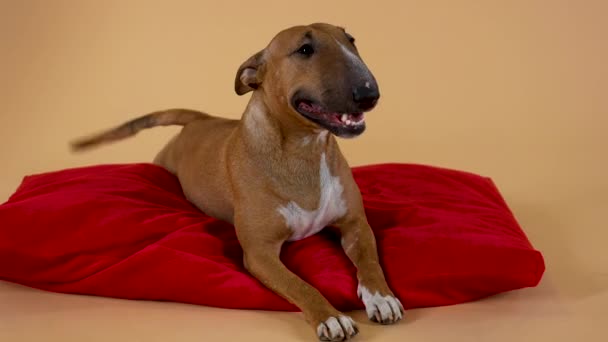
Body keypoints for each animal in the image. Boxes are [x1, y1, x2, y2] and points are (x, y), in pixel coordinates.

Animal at [71, 23, 404, 340]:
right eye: (304, 49)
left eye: (351, 40)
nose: (369, 93)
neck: (304, 150)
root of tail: (200, 119)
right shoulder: (260, 253)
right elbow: (300, 285)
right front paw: (330, 317)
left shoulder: (355, 224)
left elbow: (370, 261)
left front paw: (382, 297)